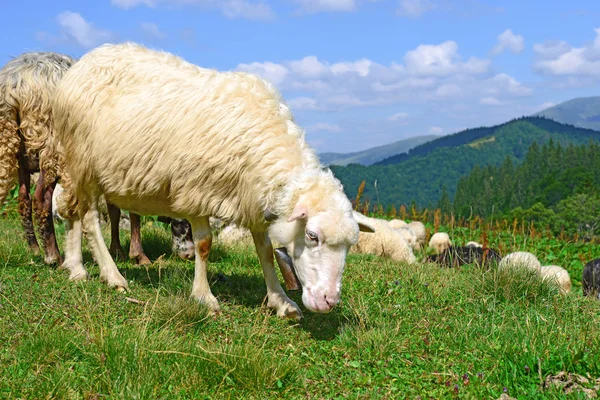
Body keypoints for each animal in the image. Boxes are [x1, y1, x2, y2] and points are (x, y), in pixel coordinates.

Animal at [51, 42, 372, 320]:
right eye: (312, 236)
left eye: (350, 244)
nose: (329, 301)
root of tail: (83, 62)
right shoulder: (195, 191)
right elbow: (204, 245)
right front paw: (204, 296)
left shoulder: (252, 198)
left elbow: (266, 251)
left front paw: (281, 301)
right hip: (82, 160)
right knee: (89, 218)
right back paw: (112, 275)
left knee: (72, 212)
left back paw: (76, 268)